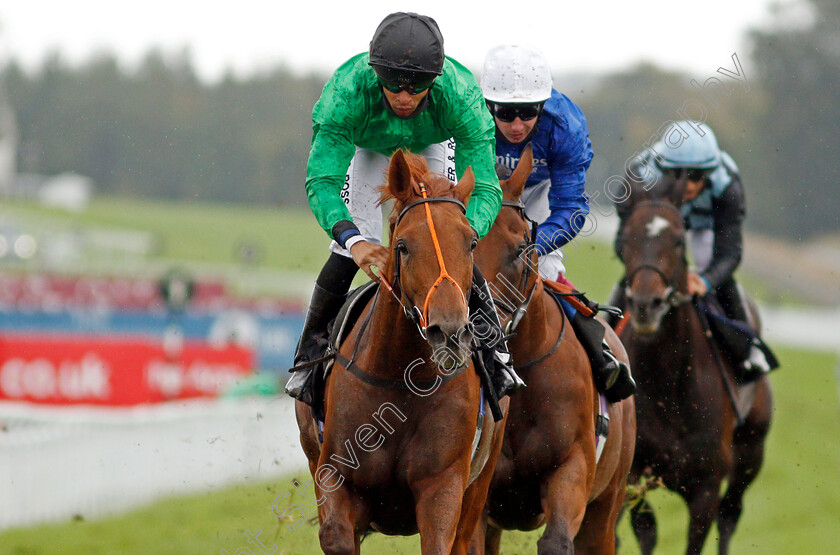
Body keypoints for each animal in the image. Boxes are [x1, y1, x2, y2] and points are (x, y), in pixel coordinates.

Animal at [296, 149, 506, 555]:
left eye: (471, 243)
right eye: (402, 246)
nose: (449, 332)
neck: (401, 379)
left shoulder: (444, 486)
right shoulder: (335, 477)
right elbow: (336, 535)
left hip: (480, 484)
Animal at [616, 179, 776, 555]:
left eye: (678, 239)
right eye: (626, 237)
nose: (646, 306)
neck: (667, 383)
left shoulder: (706, 486)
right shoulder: (635, 473)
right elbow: (646, 530)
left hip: (752, 455)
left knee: (730, 515)